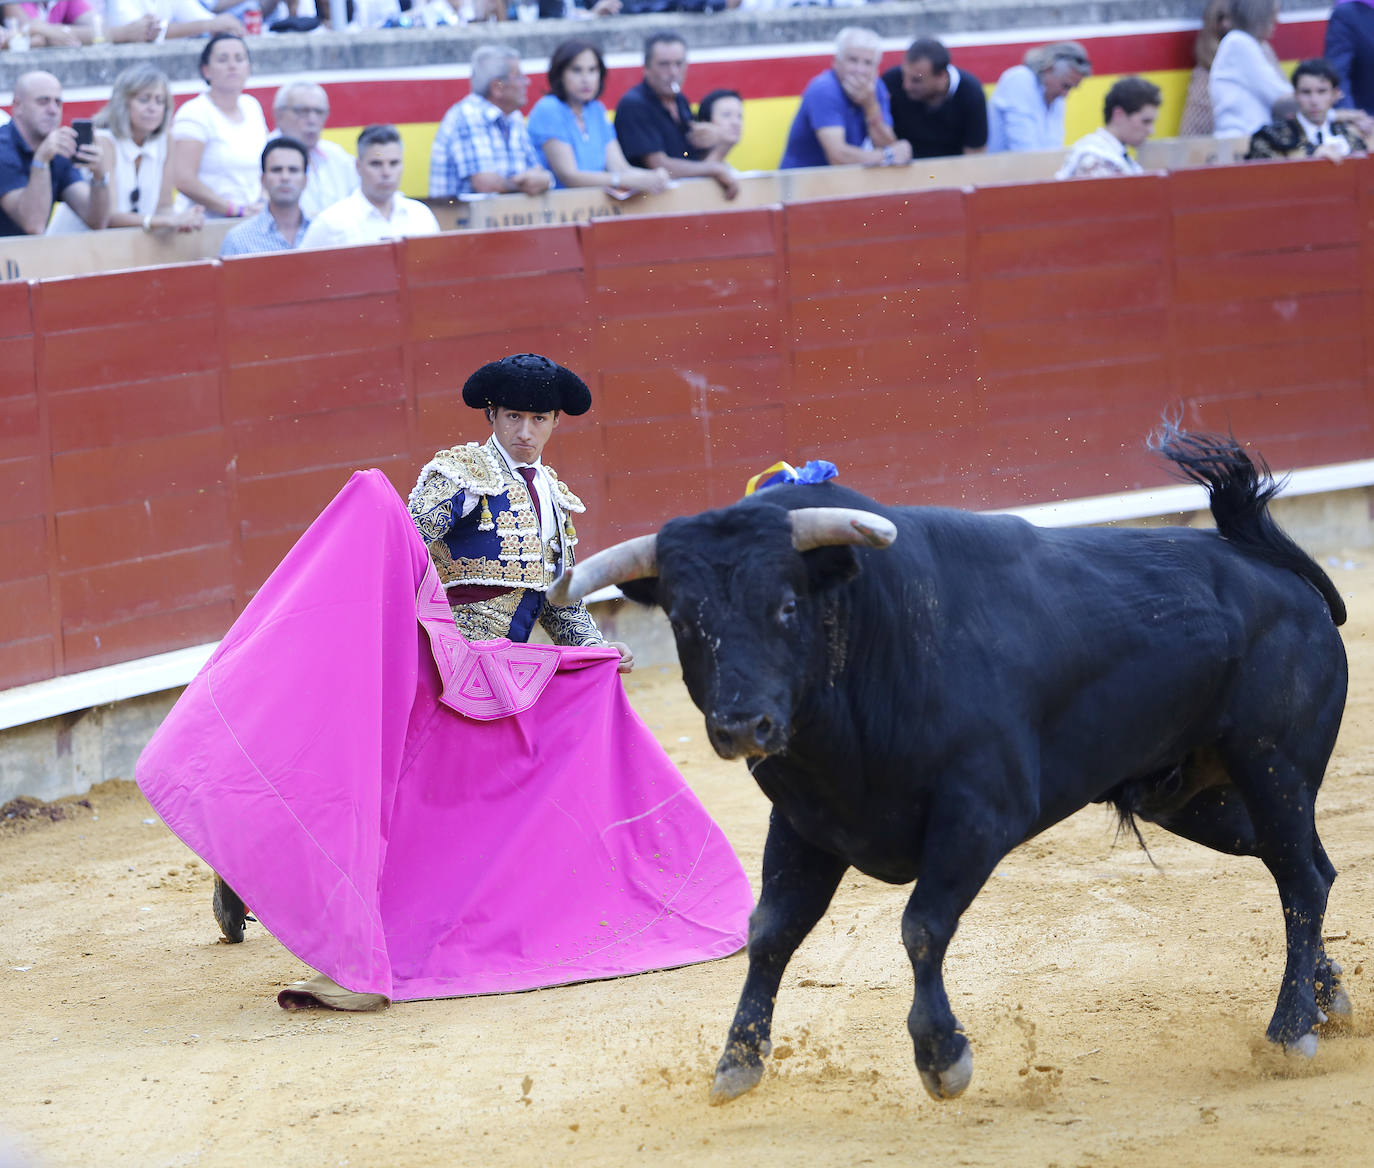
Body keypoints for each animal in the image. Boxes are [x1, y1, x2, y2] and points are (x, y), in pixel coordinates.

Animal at [546, 428, 1352, 1099]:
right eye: (685, 621)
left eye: (786, 607)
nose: (743, 725)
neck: (870, 635)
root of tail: (1274, 573)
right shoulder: (806, 822)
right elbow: (771, 928)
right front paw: (737, 1062)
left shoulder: (979, 814)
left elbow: (922, 926)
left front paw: (943, 1058)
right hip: (1193, 796)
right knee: (1302, 867)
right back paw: (1329, 998)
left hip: (1271, 766)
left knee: (1303, 879)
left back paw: (1290, 1031)